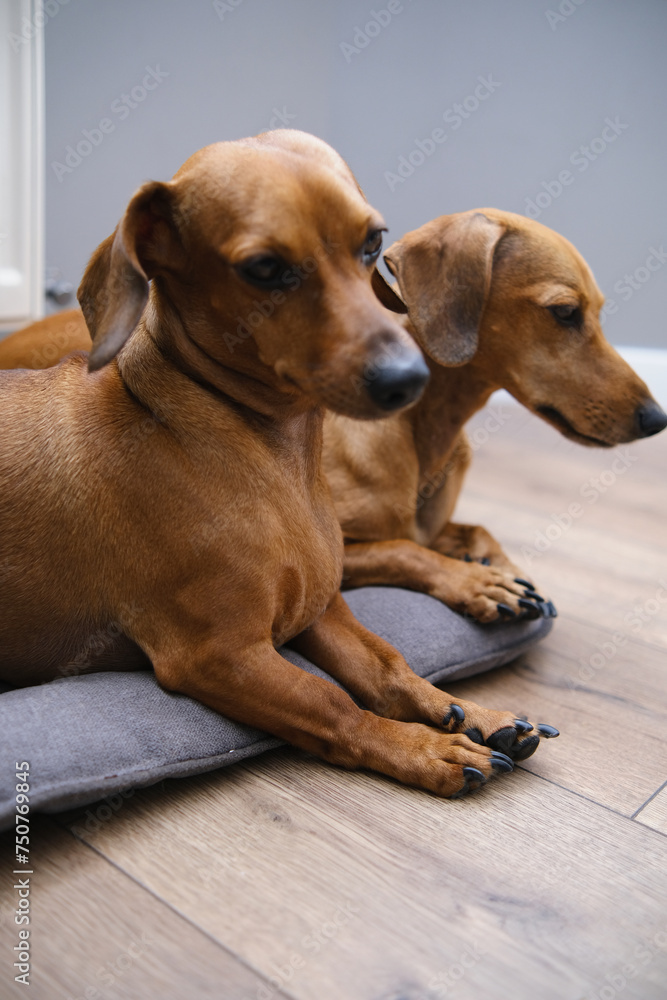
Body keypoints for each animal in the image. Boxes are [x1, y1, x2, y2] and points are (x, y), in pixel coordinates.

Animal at [1, 137, 552, 800]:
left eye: (373, 241)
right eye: (264, 269)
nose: (410, 378)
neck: (271, 454)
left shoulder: (318, 610)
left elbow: (388, 665)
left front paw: (469, 712)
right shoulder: (221, 656)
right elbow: (332, 703)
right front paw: (421, 748)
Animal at [322, 207, 664, 620]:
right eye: (565, 312)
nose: (657, 419)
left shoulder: (437, 529)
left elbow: (477, 529)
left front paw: (503, 567)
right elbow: (402, 549)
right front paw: (475, 582)